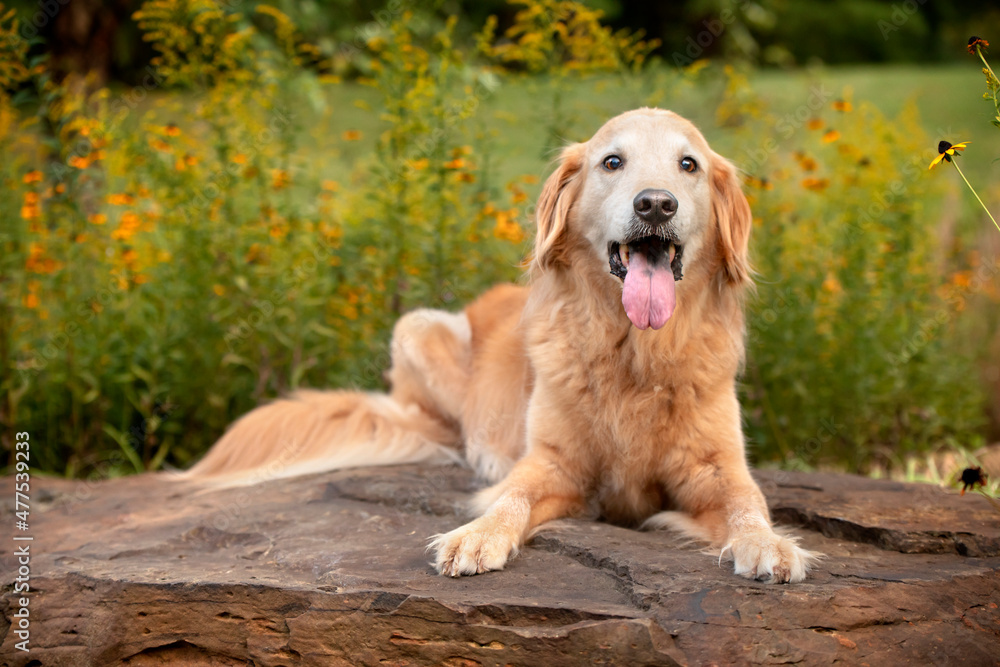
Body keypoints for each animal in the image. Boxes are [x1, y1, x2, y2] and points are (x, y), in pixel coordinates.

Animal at [184, 108, 816, 584]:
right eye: (612, 161)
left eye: (689, 164)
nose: (656, 203)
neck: (634, 354)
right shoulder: (552, 463)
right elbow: (510, 496)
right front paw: (477, 535)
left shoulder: (716, 466)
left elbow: (748, 503)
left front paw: (768, 544)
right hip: (415, 327)